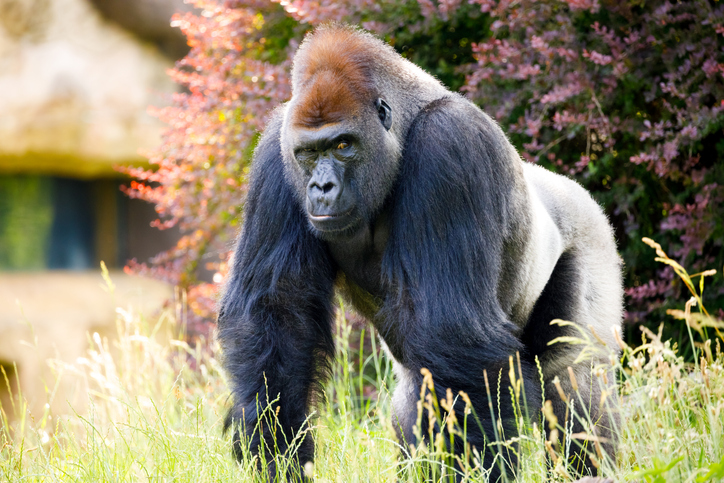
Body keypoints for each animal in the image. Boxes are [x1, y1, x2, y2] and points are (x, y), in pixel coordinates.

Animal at [218, 24, 623, 481]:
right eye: (307, 153)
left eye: (342, 146)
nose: (321, 187)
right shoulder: (275, 151)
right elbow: (278, 315)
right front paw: (277, 450)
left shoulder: (450, 143)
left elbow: (450, 330)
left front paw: (479, 468)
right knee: (413, 398)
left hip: (592, 234)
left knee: (571, 381)